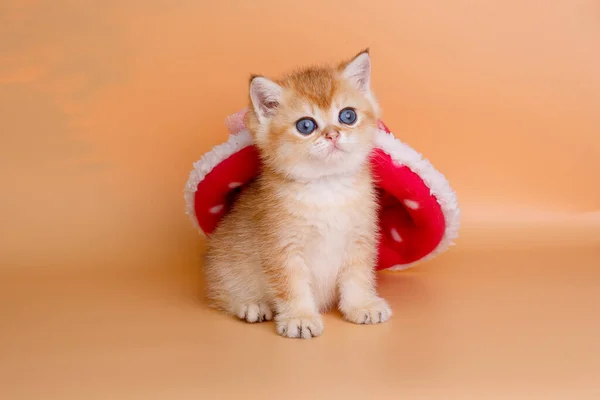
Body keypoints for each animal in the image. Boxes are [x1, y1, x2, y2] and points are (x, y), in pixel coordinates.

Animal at [203, 49, 390, 338]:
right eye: (305, 126)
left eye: (347, 116)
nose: (333, 134)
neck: (326, 188)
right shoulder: (281, 247)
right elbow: (292, 285)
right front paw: (300, 317)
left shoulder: (360, 237)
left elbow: (357, 276)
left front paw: (362, 305)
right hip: (225, 264)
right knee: (221, 293)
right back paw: (250, 304)